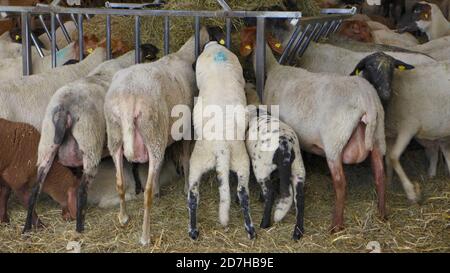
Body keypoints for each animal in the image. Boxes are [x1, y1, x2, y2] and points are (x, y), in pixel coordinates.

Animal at [22, 44, 158, 232]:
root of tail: (64, 109)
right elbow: (134, 165)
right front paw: (138, 187)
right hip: (90, 143)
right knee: (81, 189)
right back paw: (80, 226)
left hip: (47, 144)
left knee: (36, 187)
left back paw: (27, 227)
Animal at [103, 27, 214, 244]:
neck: (182, 56)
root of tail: (128, 101)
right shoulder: (186, 129)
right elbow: (186, 159)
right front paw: (186, 187)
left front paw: (158, 188)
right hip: (152, 133)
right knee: (146, 193)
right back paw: (145, 236)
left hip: (117, 137)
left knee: (120, 182)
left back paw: (123, 217)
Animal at [187, 41, 256, 239]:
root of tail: (222, 147)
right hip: (242, 162)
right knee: (243, 193)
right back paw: (250, 228)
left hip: (197, 161)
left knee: (193, 195)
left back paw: (193, 230)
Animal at [244, 82, 308, 238]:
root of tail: (285, 146)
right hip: (298, 169)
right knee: (300, 198)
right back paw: (297, 232)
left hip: (261, 168)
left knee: (271, 193)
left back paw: (265, 223)